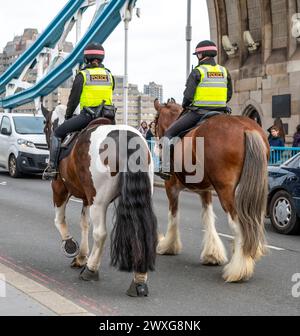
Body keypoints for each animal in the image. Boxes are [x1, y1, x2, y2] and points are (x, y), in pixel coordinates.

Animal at [41, 105, 157, 296]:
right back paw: (139, 280)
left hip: (99, 202)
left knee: (100, 233)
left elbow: (59, 220)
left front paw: (70, 245)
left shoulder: (59, 188)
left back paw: (91, 269)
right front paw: (81, 256)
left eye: (46, 127)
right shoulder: (87, 198)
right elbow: (84, 223)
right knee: (141, 231)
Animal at [155, 98, 270, 282]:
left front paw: (168, 245)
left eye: (156, 120)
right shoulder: (206, 190)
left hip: (225, 191)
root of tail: (246, 128)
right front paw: (212, 254)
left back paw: (239, 268)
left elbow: (173, 215)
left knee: (238, 225)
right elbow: (208, 217)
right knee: (253, 221)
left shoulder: (171, 187)